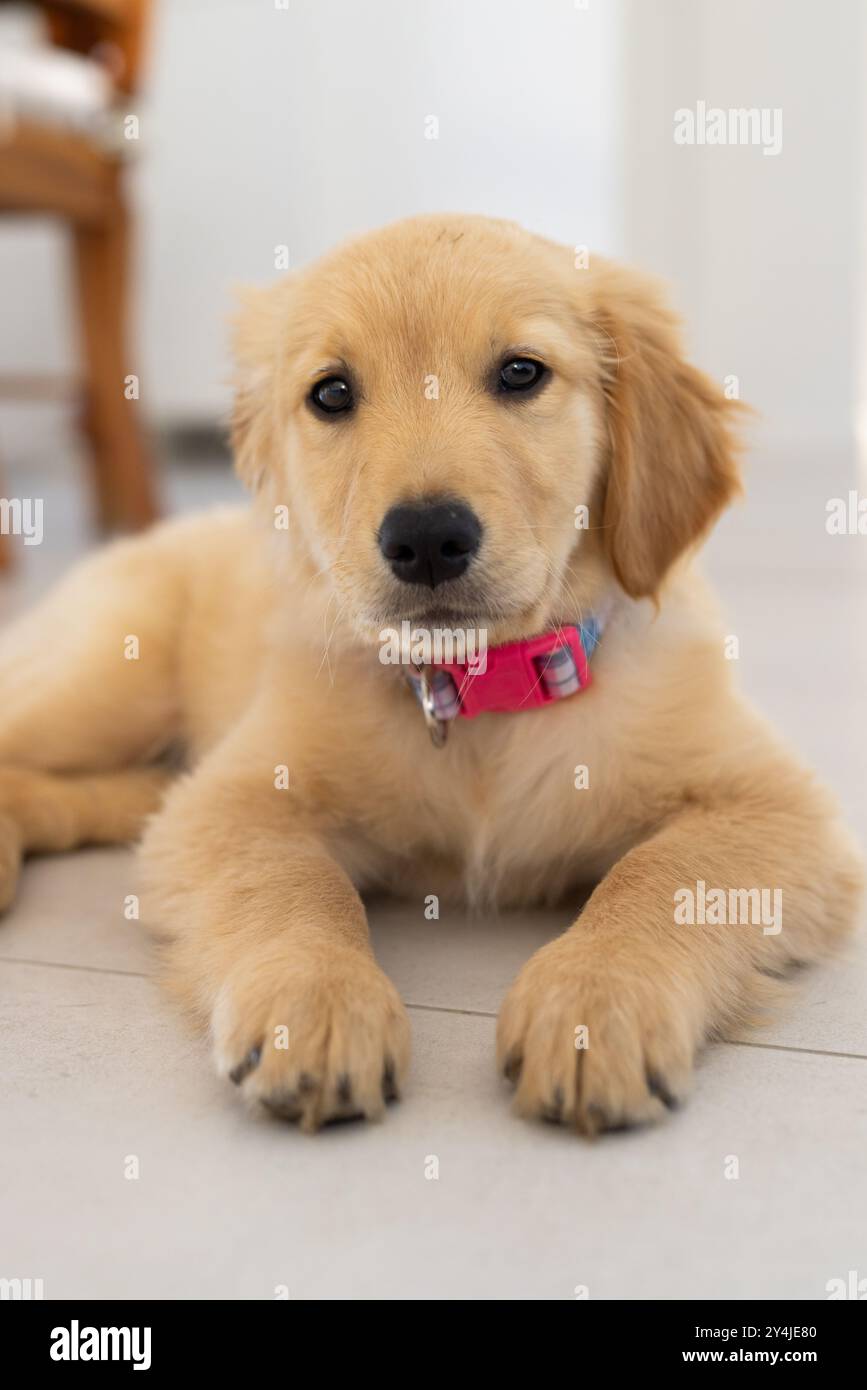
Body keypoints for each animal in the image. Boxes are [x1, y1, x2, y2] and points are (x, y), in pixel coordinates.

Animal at [0, 214, 861, 1128]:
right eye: (331, 393)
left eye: (520, 372)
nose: (424, 539)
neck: (476, 690)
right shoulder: (231, 798)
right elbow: (289, 882)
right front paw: (316, 1000)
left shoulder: (771, 804)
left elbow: (658, 875)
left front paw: (595, 1003)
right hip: (101, 680)